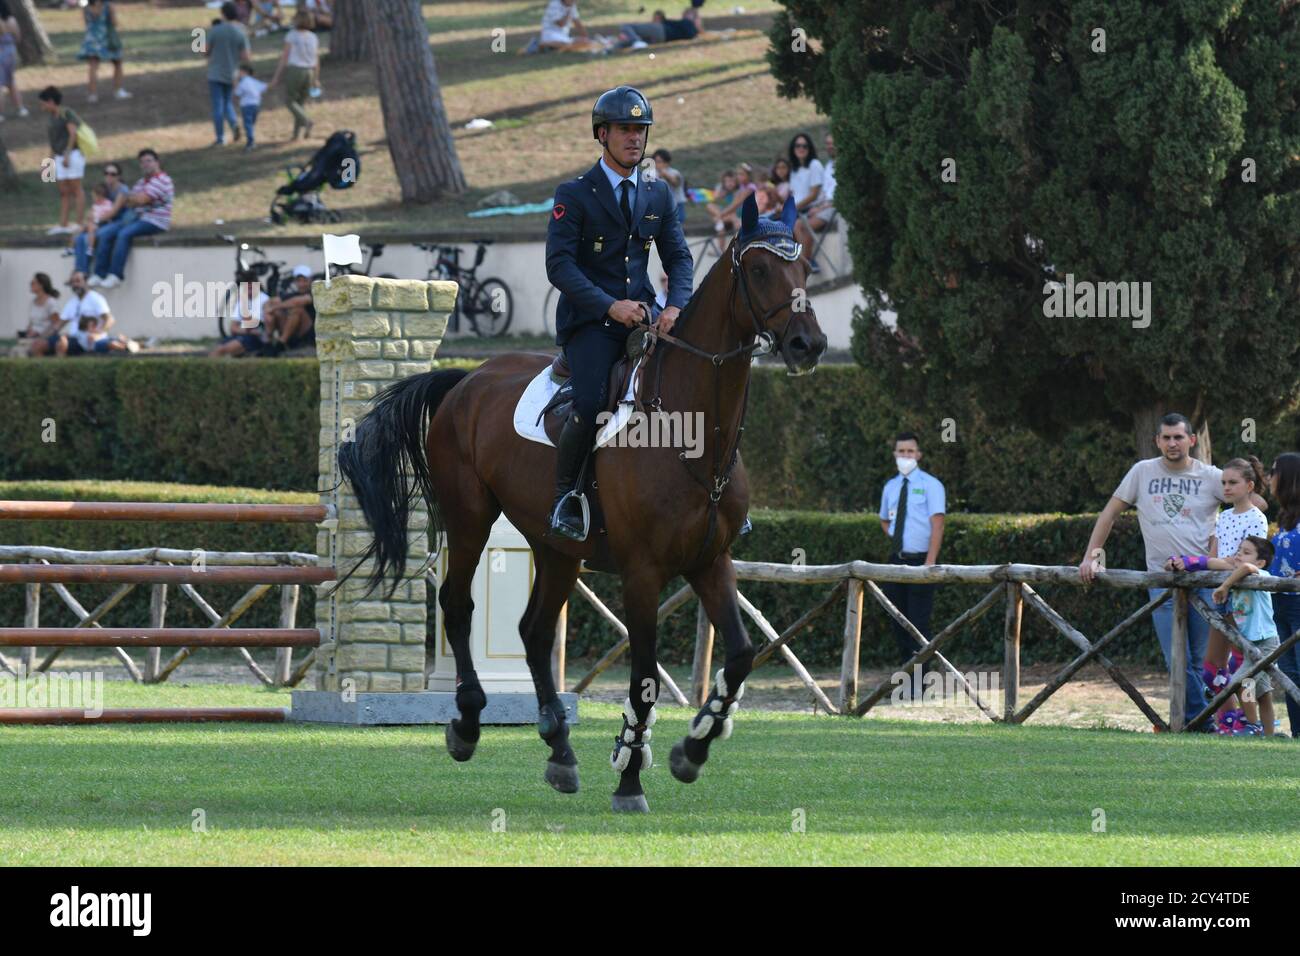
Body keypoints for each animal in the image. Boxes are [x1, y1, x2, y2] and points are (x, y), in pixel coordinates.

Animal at [335, 196, 821, 816]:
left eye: (804, 268)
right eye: (758, 270)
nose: (809, 345)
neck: (691, 434)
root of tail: (468, 379)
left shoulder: (711, 562)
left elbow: (738, 655)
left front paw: (691, 749)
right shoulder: (643, 573)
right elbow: (644, 678)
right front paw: (630, 777)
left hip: (558, 549)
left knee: (535, 631)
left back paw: (560, 750)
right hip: (470, 521)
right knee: (458, 605)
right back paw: (467, 725)